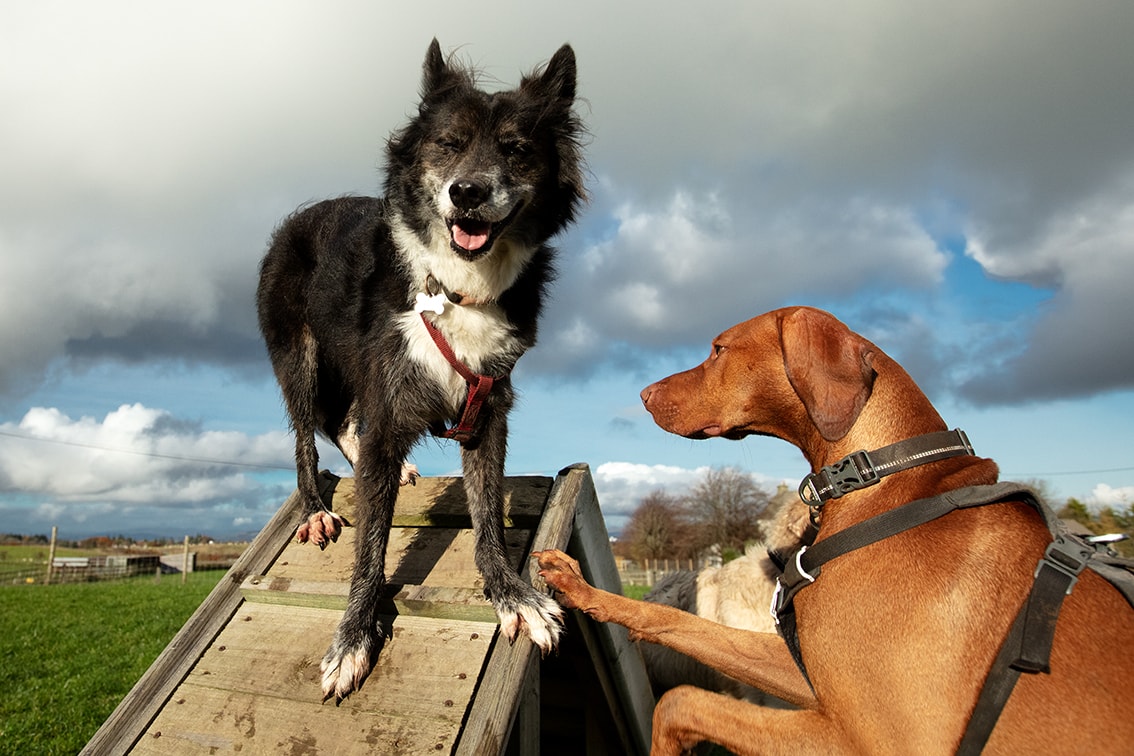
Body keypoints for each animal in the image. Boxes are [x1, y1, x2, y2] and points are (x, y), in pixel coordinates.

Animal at [257, 41, 585, 702]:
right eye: (449, 144)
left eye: (515, 148)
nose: (468, 193)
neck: (457, 288)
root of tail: (298, 218)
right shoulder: (387, 405)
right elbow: (371, 543)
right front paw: (353, 637)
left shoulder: (486, 407)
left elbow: (487, 518)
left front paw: (511, 595)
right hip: (301, 357)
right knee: (306, 434)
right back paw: (314, 509)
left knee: (340, 421)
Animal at [532, 308, 1134, 756]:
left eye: (719, 349)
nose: (643, 394)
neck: (886, 481)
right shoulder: (809, 677)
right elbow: (678, 625)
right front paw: (579, 588)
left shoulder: (865, 736)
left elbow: (681, 701)